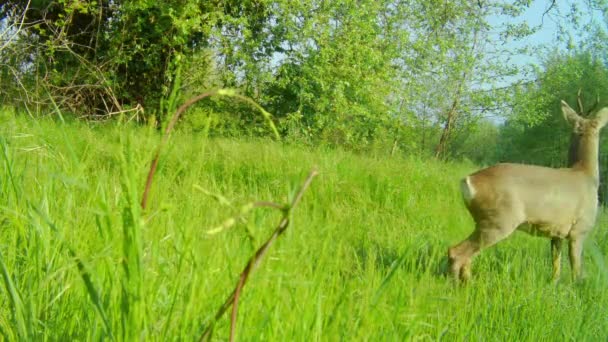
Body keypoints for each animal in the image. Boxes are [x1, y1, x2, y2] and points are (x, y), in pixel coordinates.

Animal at [446, 100, 608, 282]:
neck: (585, 174)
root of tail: (468, 181)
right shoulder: (579, 230)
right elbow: (576, 269)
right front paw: (576, 286)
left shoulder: (556, 233)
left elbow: (556, 265)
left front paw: (554, 284)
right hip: (499, 221)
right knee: (456, 253)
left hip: (483, 221)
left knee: (467, 257)